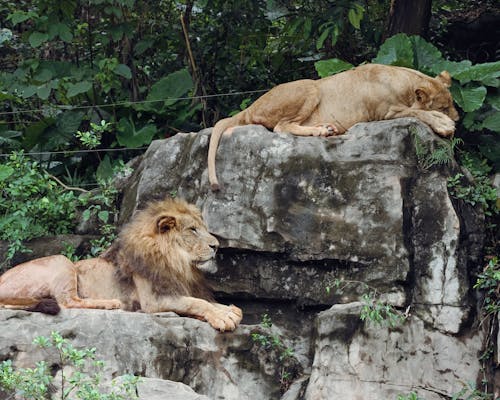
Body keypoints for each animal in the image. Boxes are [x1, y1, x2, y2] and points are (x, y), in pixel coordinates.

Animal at [0, 197, 242, 332]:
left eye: (203, 228)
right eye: (192, 230)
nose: (216, 246)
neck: (178, 262)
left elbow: (206, 301)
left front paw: (229, 310)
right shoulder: (153, 300)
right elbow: (196, 303)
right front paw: (223, 317)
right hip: (61, 260)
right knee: (67, 302)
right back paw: (111, 303)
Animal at [206, 63, 458, 191]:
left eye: (453, 103)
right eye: (445, 107)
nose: (457, 119)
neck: (405, 83)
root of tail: (251, 107)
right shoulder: (386, 112)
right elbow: (419, 112)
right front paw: (444, 124)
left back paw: (328, 128)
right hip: (310, 86)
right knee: (280, 126)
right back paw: (321, 130)